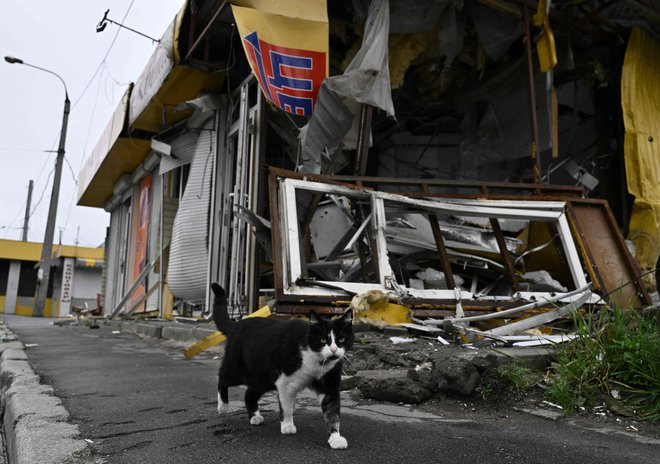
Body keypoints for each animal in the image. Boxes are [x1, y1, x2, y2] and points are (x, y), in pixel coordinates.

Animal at [213, 282, 356, 450]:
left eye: (341, 339)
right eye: (322, 340)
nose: (333, 350)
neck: (315, 360)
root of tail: (237, 324)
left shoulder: (329, 384)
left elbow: (332, 412)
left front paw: (335, 437)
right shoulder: (285, 383)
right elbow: (287, 406)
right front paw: (287, 426)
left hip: (262, 378)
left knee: (249, 393)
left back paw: (255, 417)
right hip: (237, 369)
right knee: (222, 376)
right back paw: (223, 406)